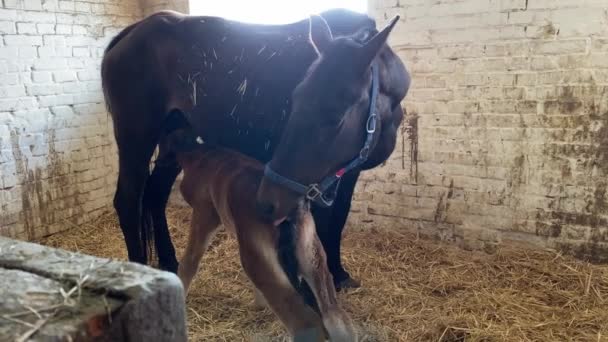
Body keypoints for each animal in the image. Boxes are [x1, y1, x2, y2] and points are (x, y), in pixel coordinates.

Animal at [173, 143, 356, 340]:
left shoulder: (205, 212)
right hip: (312, 257)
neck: (204, 158)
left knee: (307, 324)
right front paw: (259, 305)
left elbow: (190, 260)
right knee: (336, 318)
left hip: (261, 262)